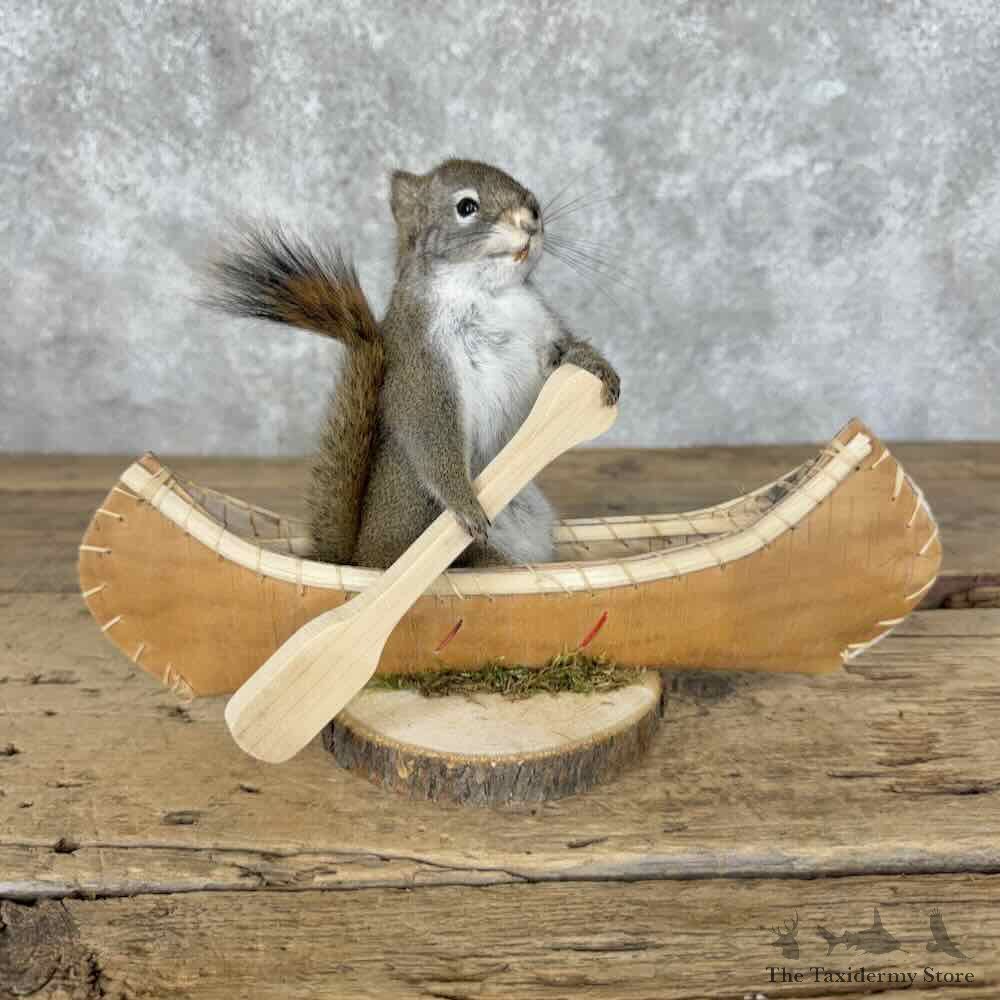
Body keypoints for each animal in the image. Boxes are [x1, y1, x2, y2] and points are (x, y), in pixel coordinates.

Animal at [204, 158, 620, 569]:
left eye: (524, 189)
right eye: (466, 206)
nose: (532, 218)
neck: (489, 294)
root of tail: (361, 559)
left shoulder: (540, 332)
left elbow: (558, 362)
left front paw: (597, 367)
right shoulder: (421, 366)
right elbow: (430, 431)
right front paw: (465, 502)